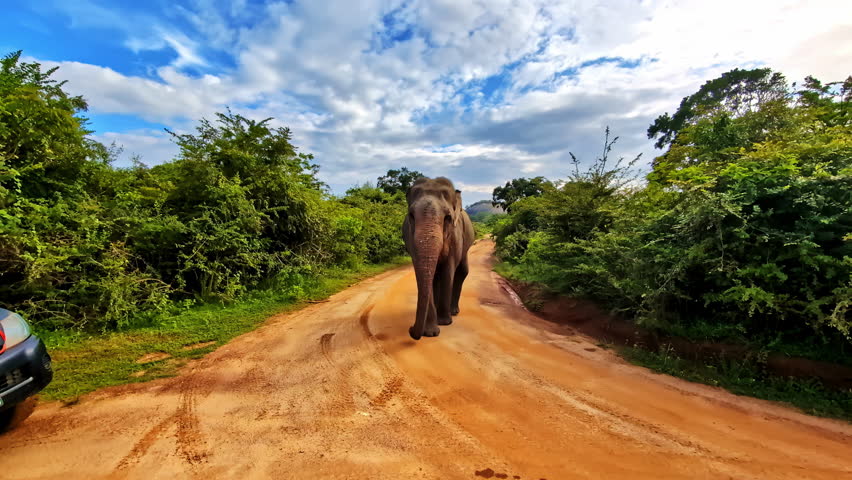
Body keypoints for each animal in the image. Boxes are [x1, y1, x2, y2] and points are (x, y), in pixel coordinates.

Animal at [402, 177, 475, 340]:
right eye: (411, 216)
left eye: (448, 217)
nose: (410, 329)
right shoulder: (410, 237)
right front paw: (430, 332)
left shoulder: (456, 236)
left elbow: (449, 269)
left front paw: (444, 323)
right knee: (435, 276)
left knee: (462, 272)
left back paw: (453, 312)